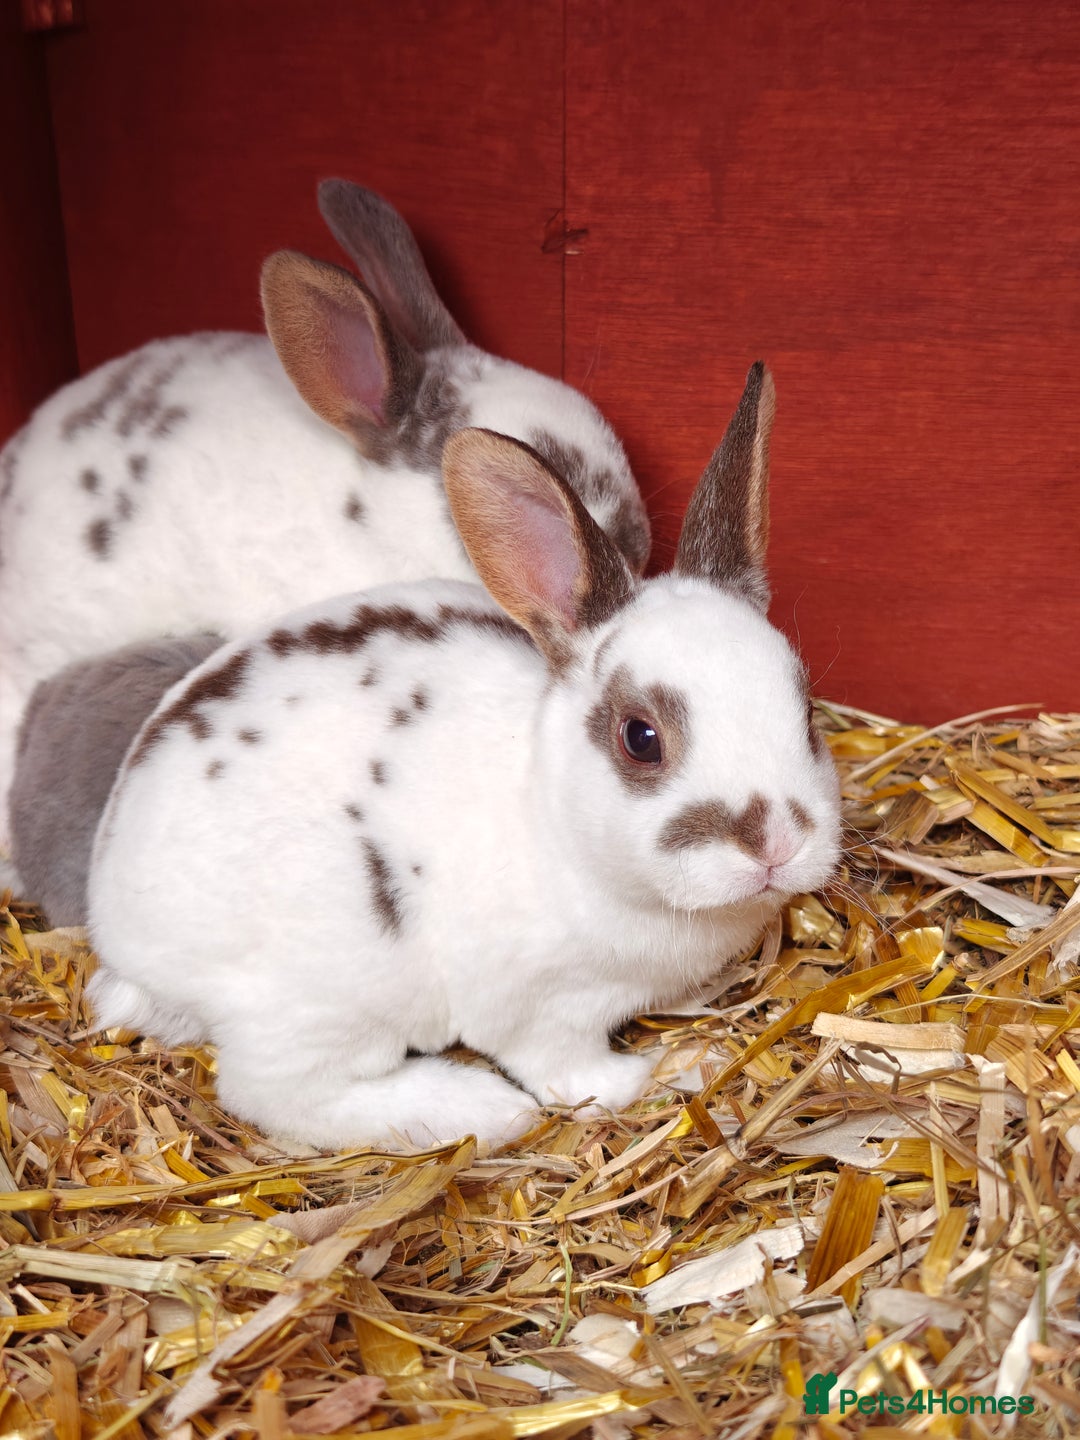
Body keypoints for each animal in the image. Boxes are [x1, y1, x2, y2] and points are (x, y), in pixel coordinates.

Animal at [86, 364, 841, 1151]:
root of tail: (114, 923)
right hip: (322, 1001)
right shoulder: (540, 1008)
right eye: (641, 737)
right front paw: (676, 1069)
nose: (776, 843)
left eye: (805, 709)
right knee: (275, 1092)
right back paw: (476, 1109)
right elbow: (577, 1077)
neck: (548, 814)